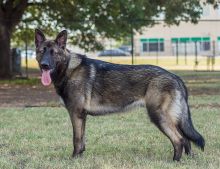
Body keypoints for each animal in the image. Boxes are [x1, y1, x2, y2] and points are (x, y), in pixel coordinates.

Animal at [34, 29, 205, 161]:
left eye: (54, 53)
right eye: (42, 52)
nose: (44, 65)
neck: (68, 68)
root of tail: (175, 76)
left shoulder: (76, 114)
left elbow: (76, 139)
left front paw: (74, 159)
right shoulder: (82, 116)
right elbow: (81, 140)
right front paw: (80, 158)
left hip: (159, 116)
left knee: (179, 139)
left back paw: (175, 161)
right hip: (172, 118)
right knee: (186, 139)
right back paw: (188, 159)